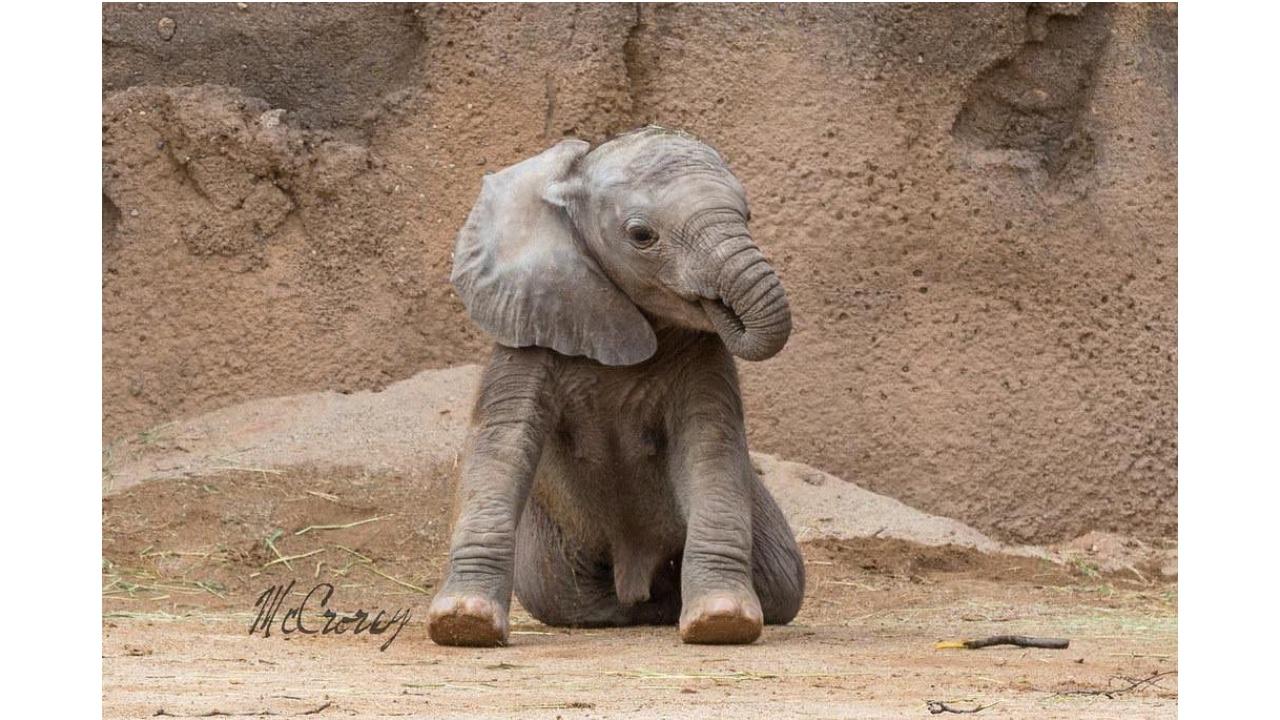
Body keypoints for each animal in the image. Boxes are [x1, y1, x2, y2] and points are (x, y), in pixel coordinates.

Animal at [432, 124, 808, 645]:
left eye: (748, 215)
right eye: (641, 235)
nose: (722, 306)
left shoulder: (704, 354)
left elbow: (710, 446)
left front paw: (721, 620)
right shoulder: (529, 322)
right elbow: (500, 443)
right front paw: (464, 623)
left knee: (781, 580)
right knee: (560, 594)